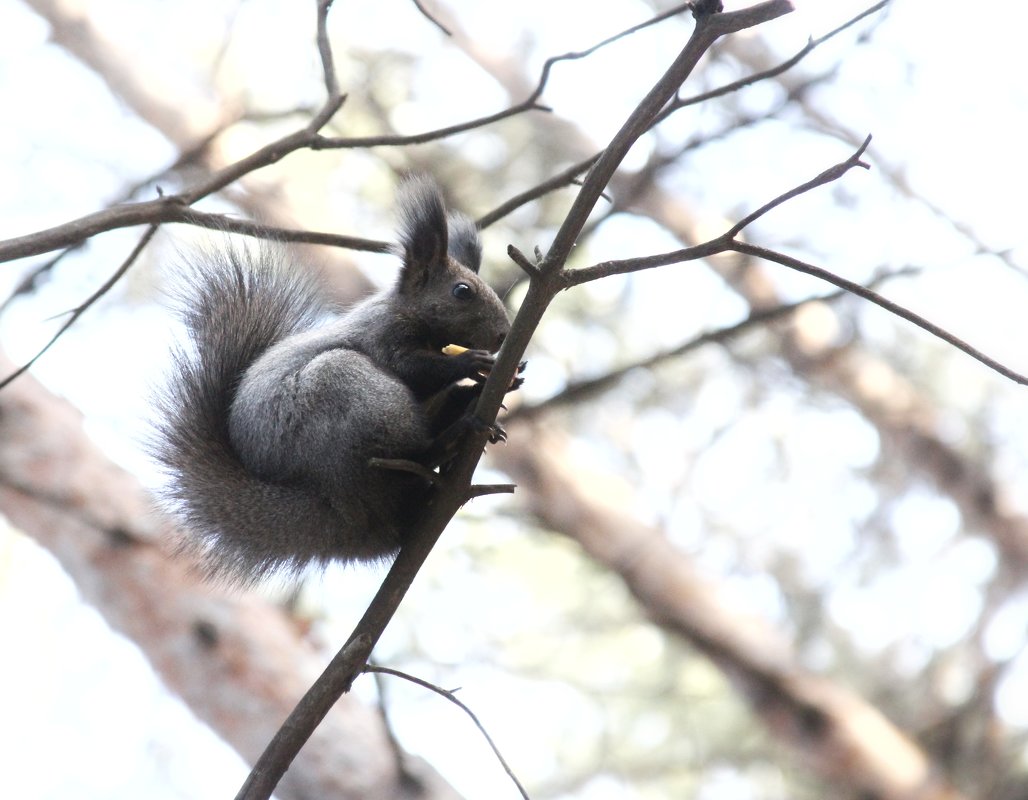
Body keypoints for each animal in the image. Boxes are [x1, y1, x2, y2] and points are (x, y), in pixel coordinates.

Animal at [154, 177, 522, 584]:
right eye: (462, 291)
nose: (503, 335)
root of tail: (335, 515)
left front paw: (497, 381)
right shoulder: (383, 337)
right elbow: (415, 369)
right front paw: (474, 363)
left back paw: (469, 413)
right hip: (346, 394)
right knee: (409, 454)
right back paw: (454, 434)